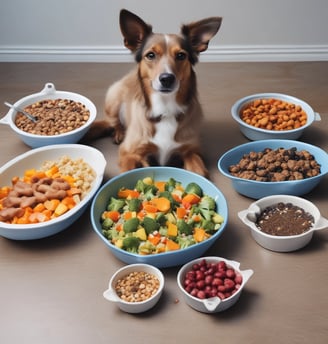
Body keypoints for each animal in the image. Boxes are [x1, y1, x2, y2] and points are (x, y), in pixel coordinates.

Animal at [87, 10, 222, 177]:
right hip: (113, 98)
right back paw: (119, 133)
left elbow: (199, 171)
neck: (165, 109)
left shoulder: (192, 152)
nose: (167, 79)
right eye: (150, 55)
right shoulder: (129, 153)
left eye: (181, 55)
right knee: (113, 123)